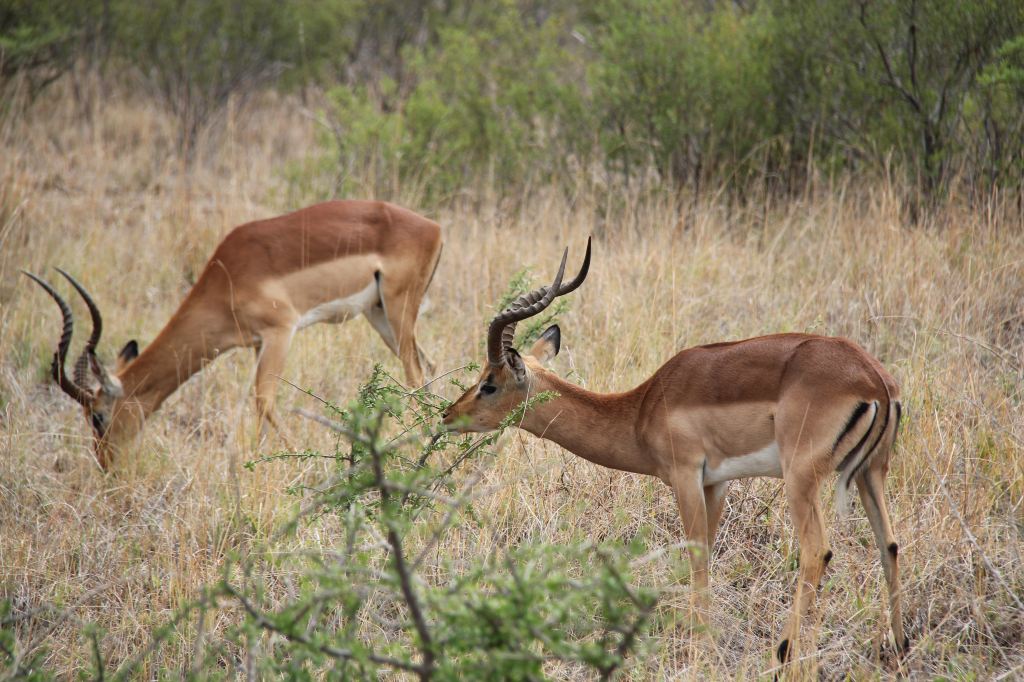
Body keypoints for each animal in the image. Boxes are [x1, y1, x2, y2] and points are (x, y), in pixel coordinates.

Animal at [25, 199, 442, 471]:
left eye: (97, 416)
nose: (105, 464)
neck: (226, 277)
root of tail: (433, 227)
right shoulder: (257, 343)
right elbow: (258, 407)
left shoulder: (281, 331)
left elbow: (264, 401)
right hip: (380, 314)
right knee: (430, 367)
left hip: (398, 310)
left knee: (416, 374)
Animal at [444, 238, 909, 663]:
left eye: (489, 384)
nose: (448, 415)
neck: (642, 408)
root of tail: (874, 380)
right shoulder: (716, 483)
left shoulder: (685, 476)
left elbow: (696, 556)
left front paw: (700, 649)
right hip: (871, 473)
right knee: (889, 544)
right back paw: (897, 648)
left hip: (801, 478)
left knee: (816, 551)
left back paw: (786, 653)